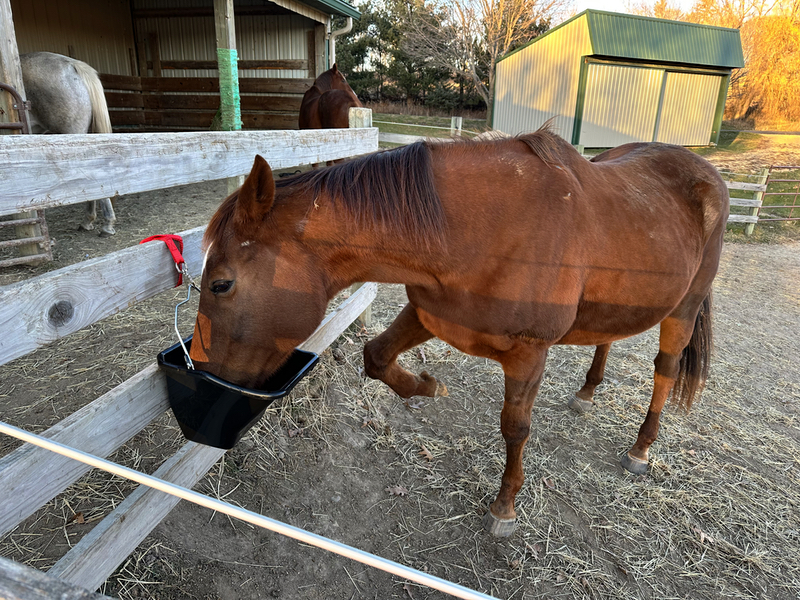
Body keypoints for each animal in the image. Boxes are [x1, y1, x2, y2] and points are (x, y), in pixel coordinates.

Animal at [188, 126, 729, 537]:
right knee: (608, 338)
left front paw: (505, 507)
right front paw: (427, 386)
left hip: (683, 310)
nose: (202, 371)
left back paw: (640, 448)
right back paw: (587, 392)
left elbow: (515, 428)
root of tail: (706, 173)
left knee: (664, 371)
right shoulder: (428, 314)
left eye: (221, 284)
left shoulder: (529, 353)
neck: (476, 230)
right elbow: (375, 357)